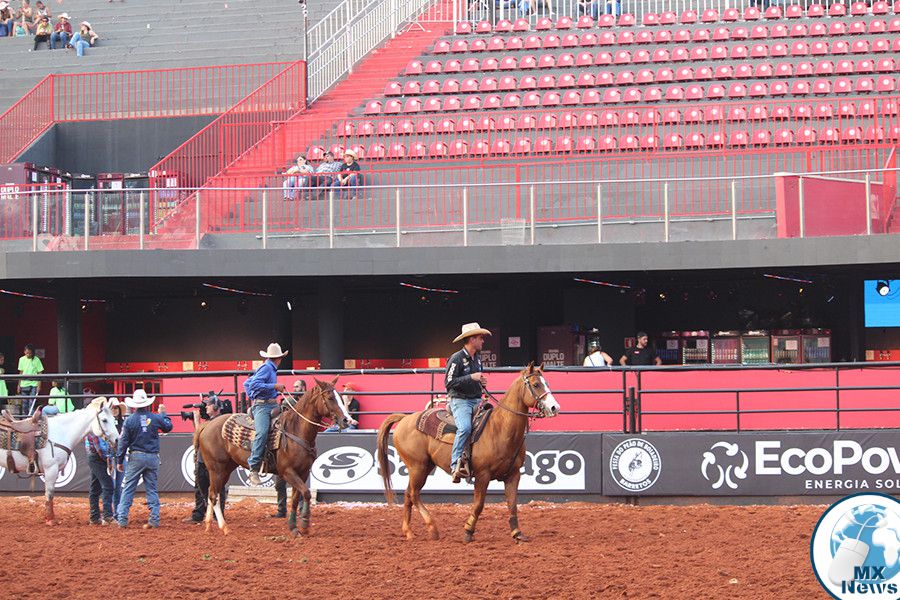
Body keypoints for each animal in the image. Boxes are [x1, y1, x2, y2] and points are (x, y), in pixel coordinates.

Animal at [196, 377, 354, 536]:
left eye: (341, 397)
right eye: (330, 397)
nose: (347, 420)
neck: (296, 430)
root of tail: (207, 425)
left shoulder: (302, 472)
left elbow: (296, 498)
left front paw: (294, 527)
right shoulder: (287, 472)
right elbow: (306, 493)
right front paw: (304, 524)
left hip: (226, 469)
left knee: (212, 493)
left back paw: (209, 525)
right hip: (216, 468)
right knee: (213, 495)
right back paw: (224, 527)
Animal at [377, 363, 560, 543]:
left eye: (546, 383)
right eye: (536, 384)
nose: (554, 407)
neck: (500, 428)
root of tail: (404, 418)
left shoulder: (513, 475)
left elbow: (512, 504)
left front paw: (517, 533)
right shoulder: (482, 475)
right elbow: (478, 505)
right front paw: (468, 531)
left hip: (424, 467)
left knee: (408, 494)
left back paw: (408, 532)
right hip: (417, 467)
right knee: (414, 494)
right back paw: (432, 529)